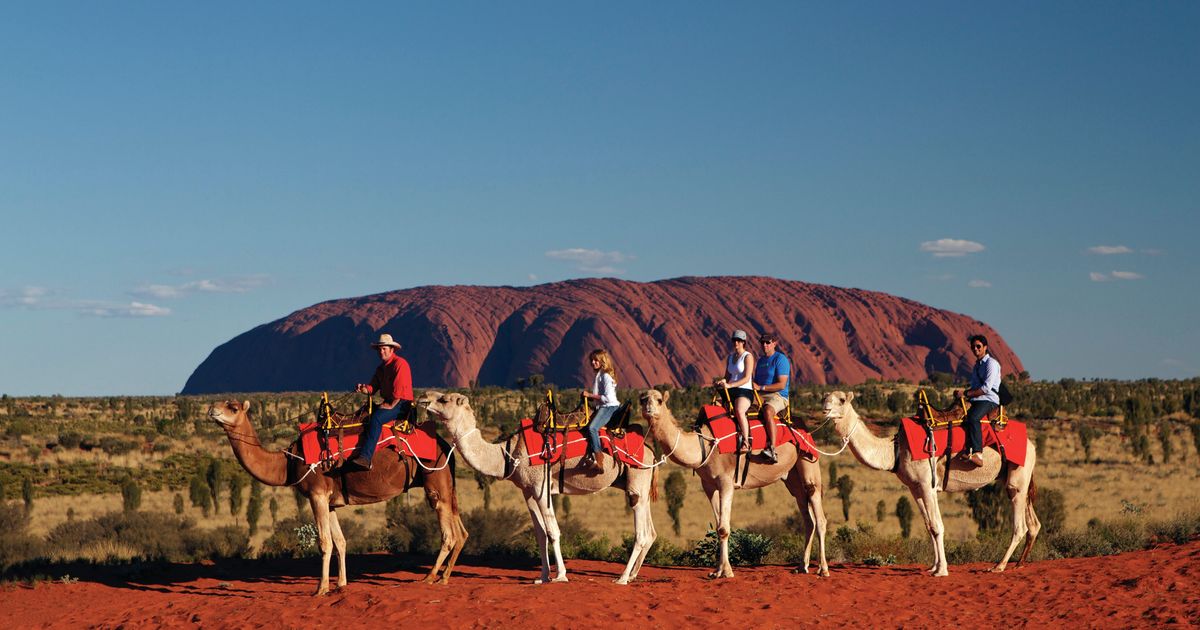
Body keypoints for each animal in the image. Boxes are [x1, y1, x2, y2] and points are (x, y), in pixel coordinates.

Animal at [207, 400, 468, 594]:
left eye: (233, 408)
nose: (212, 410)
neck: (288, 463)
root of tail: (445, 445)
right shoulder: (330, 501)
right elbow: (340, 541)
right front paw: (341, 584)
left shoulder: (317, 493)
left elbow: (324, 542)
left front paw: (320, 588)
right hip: (448, 484)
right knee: (460, 530)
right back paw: (444, 577)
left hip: (434, 479)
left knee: (448, 533)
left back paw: (430, 577)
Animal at [421, 391, 658, 584]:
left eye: (444, 399)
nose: (423, 397)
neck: (508, 453)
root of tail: (650, 451)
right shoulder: (527, 491)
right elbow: (540, 534)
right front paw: (542, 577)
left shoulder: (540, 486)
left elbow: (553, 531)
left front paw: (560, 576)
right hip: (640, 485)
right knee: (651, 532)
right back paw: (633, 575)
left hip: (637, 479)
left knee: (641, 533)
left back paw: (622, 578)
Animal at [638, 389, 829, 578]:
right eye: (643, 399)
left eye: (659, 400)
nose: (648, 409)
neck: (704, 445)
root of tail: (804, 428)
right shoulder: (708, 485)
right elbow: (718, 527)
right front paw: (717, 571)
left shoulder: (726, 482)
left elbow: (724, 528)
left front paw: (727, 572)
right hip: (792, 477)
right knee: (807, 515)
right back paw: (801, 566)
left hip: (808, 461)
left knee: (818, 513)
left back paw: (823, 569)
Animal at [820, 391, 1039, 576]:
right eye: (825, 398)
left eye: (841, 400)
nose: (824, 409)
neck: (895, 450)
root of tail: (1031, 444)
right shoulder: (914, 487)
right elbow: (928, 526)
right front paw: (933, 567)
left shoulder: (928, 484)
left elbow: (937, 525)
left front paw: (941, 571)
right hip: (1016, 478)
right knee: (1033, 524)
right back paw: (1019, 563)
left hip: (1017, 477)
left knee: (1020, 525)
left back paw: (999, 566)